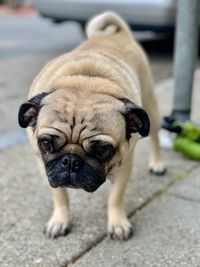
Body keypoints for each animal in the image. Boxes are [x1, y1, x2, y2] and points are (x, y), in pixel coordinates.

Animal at [18, 11, 166, 242]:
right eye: (46, 144)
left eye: (103, 150)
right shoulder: (44, 165)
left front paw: (118, 224)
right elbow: (60, 196)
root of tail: (118, 33)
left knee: (155, 137)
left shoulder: (124, 165)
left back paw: (157, 163)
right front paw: (59, 221)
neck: (86, 81)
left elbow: (115, 198)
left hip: (151, 106)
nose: (70, 161)